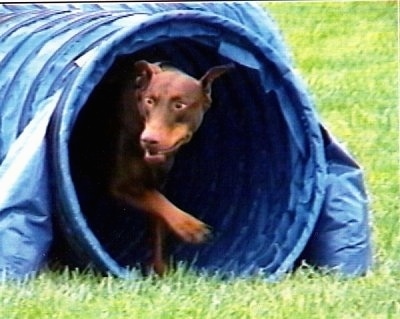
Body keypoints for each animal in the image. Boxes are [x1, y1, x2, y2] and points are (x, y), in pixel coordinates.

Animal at [111, 60, 233, 276]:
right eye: (149, 101)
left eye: (179, 105)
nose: (148, 140)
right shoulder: (122, 185)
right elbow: (157, 200)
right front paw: (191, 228)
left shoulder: (159, 180)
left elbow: (159, 221)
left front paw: (161, 272)